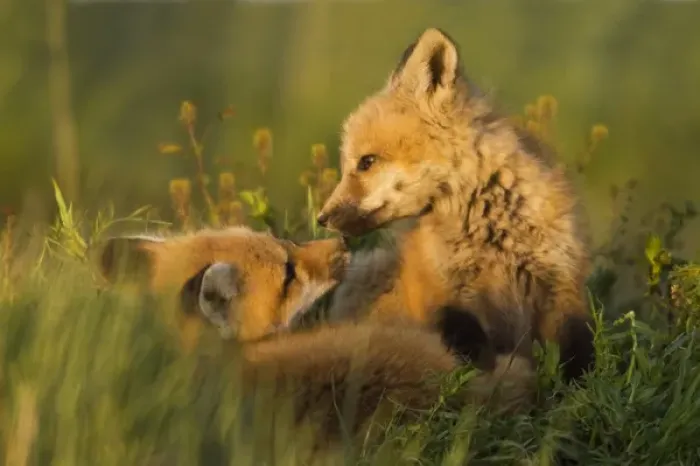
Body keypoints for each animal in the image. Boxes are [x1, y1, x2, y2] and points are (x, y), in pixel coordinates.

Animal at [316, 27, 596, 383]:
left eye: (366, 162)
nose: (322, 218)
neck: (493, 237)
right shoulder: (446, 294)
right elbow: (472, 354)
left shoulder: (563, 286)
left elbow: (579, 363)